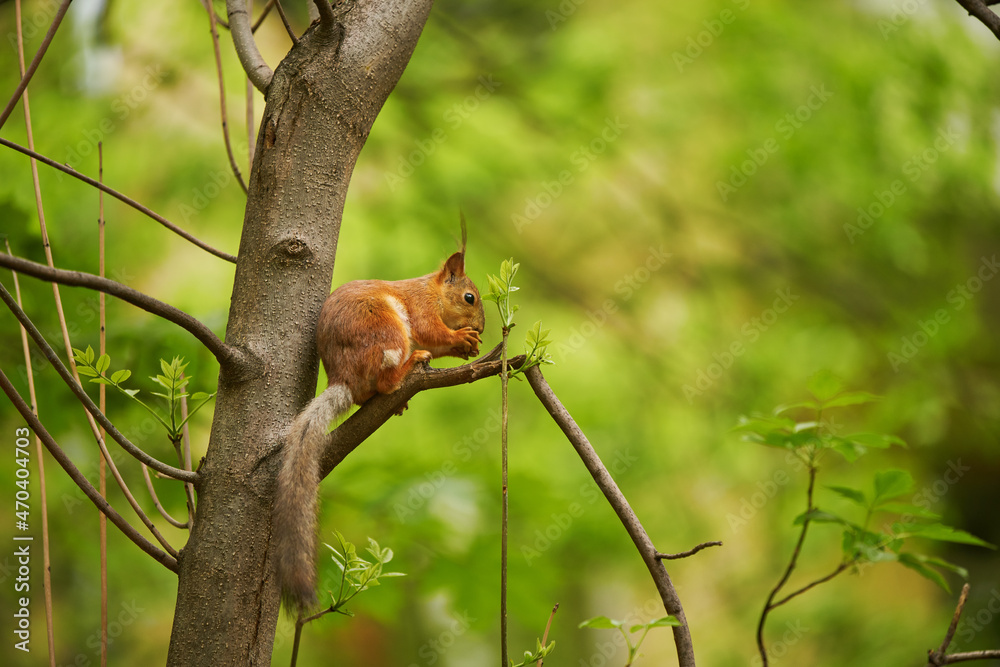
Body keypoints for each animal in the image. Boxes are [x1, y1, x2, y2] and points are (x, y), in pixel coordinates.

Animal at [274, 244, 484, 612]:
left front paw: (466, 345)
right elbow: (432, 332)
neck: (431, 290)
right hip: (386, 332)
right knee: (386, 380)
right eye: (469, 297)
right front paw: (461, 336)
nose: (483, 329)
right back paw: (408, 367)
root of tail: (343, 378)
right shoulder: (422, 311)